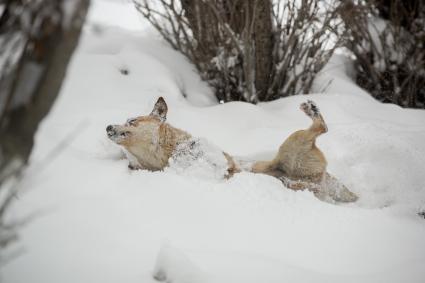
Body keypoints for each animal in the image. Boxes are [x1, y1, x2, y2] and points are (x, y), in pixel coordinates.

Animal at [107, 98, 358, 204]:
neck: (161, 155)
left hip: (291, 144)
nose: (108, 127)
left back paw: (311, 109)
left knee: (320, 128)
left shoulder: (221, 157)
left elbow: (210, 157)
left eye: (132, 121)